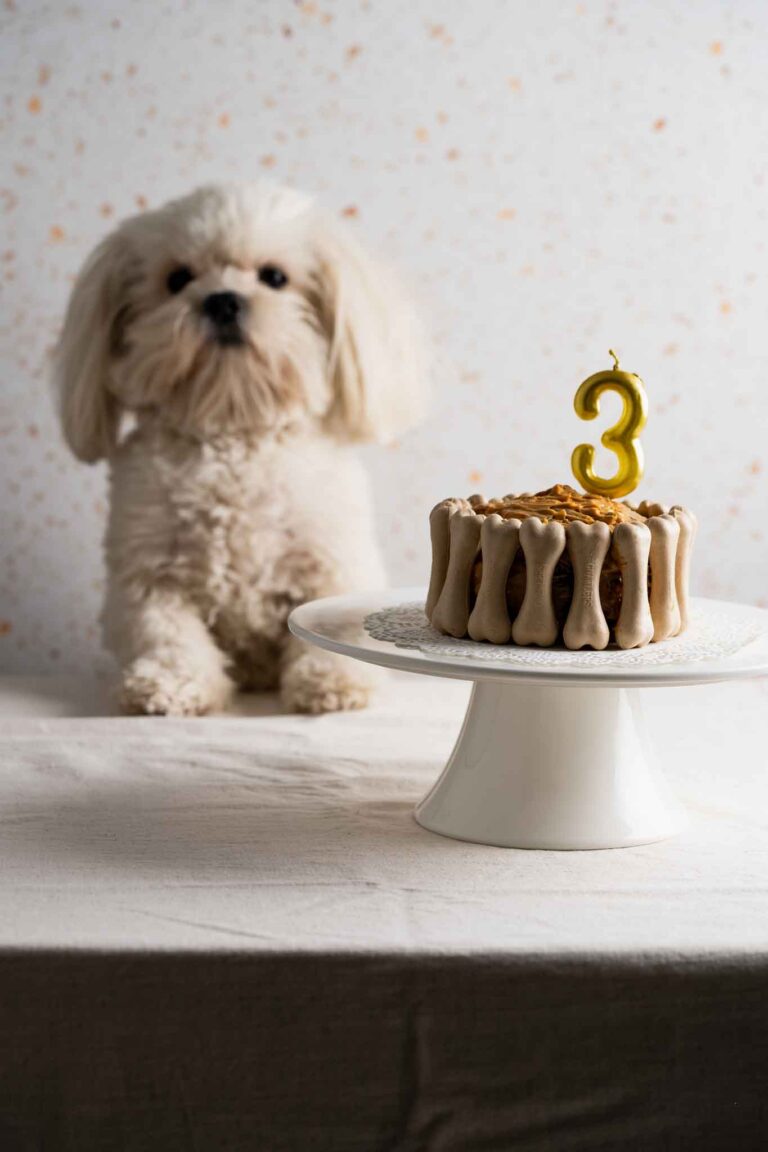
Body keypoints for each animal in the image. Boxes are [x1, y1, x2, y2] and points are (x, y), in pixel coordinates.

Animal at [54, 184, 426, 714]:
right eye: (177, 278)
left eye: (274, 277)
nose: (223, 301)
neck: (233, 432)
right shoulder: (148, 574)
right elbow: (167, 635)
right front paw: (170, 684)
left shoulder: (331, 561)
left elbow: (329, 629)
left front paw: (333, 681)